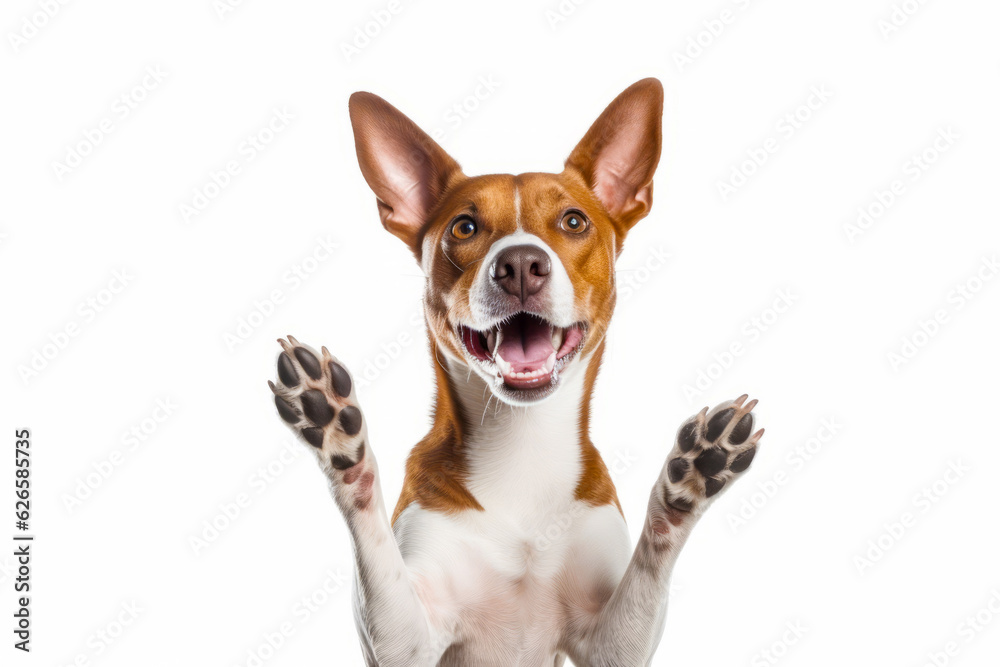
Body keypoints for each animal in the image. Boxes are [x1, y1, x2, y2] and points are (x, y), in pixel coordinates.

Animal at [270, 79, 760, 667]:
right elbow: (376, 546)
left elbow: (651, 563)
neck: (523, 442)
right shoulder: (406, 638)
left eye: (574, 221)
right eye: (464, 226)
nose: (521, 264)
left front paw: (692, 476)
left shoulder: (610, 643)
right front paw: (337, 436)